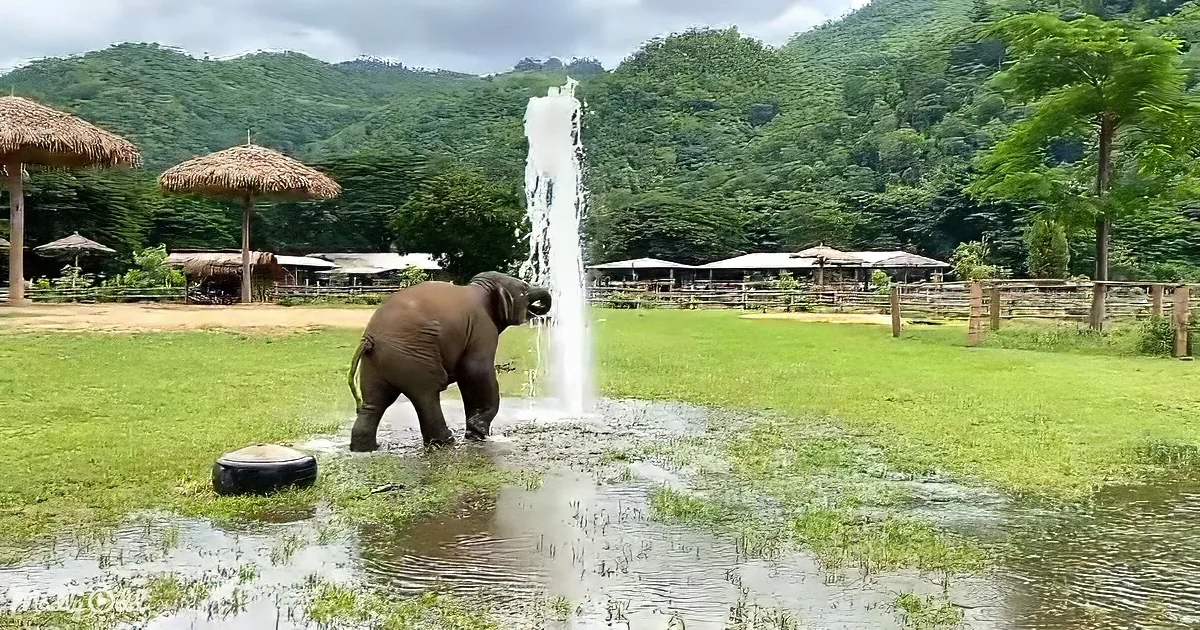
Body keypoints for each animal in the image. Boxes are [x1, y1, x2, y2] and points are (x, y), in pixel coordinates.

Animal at [346, 271, 551, 452]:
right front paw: (479, 433)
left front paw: (475, 432)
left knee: (375, 403)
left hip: (377, 363)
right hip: (411, 357)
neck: (481, 288)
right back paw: (445, 441)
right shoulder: (482, 327)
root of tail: (370, 340)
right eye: (524, 287)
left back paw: (366, 449)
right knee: (426, 396)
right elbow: (475, 371)